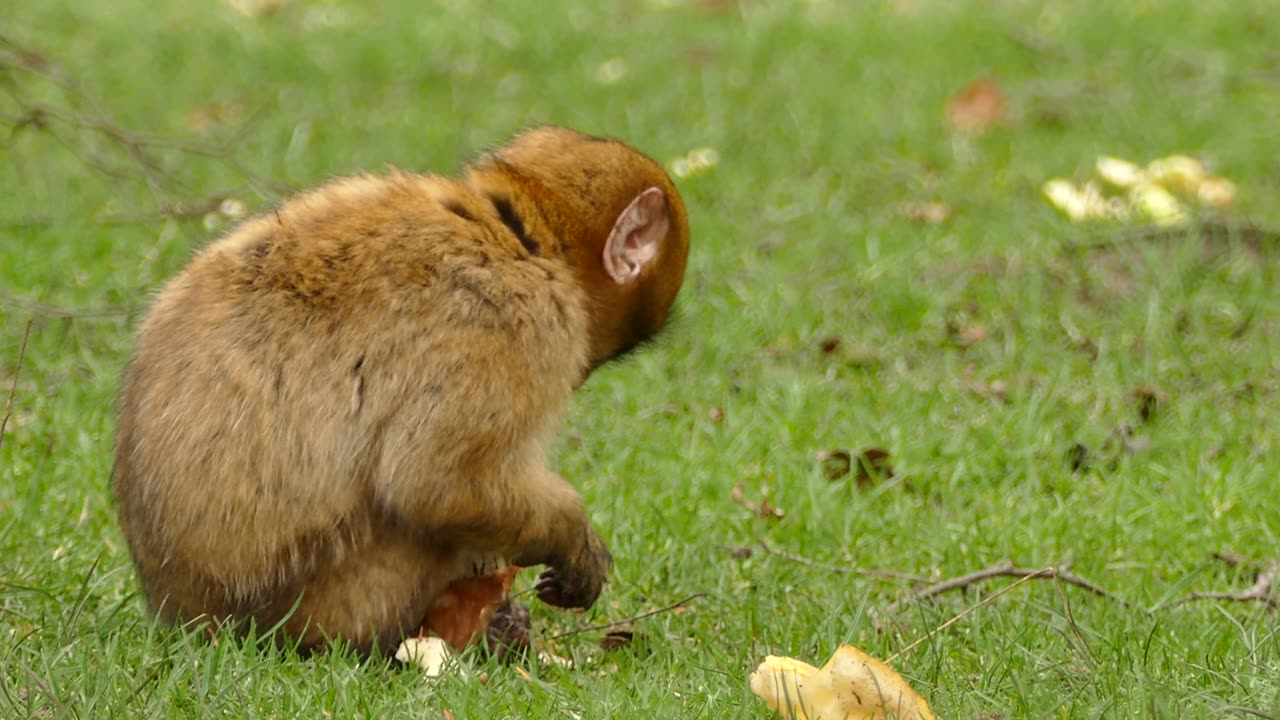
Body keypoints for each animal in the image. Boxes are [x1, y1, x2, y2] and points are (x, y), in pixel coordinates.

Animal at [110, 126, 691, 653]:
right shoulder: (511, 324)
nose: (585, 372)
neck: (515, 234)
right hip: (334, 601)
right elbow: (434, 484)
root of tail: (187, 615)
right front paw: (573, 536)